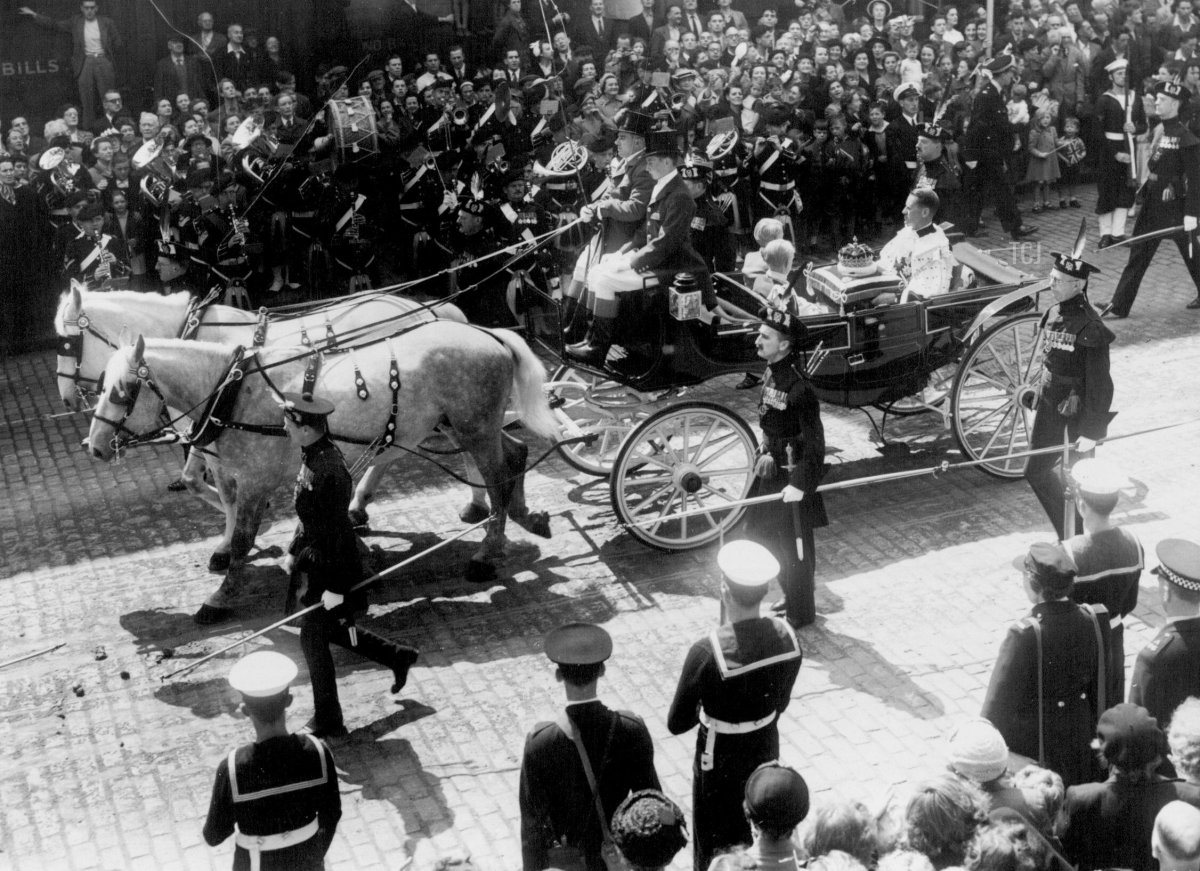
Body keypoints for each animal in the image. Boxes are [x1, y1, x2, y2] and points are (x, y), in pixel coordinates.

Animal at [55, 286, 487, 573]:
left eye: (67, 343)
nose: (66, 399)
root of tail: (428, 309)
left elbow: (209, 485)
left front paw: (233, 537)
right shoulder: (208, 432)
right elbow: (199, 481)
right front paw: (231, 534)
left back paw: (475, 501)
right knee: (392, 448)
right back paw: (361, 504)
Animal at [87, 331, 559, 623]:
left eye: (123, 392)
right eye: (101, 385)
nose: (93, 446)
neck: (234, 395)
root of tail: (489, 335)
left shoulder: (255, 483)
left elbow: (242, 541)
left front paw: (221, 597)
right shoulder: (229, 475)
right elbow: (230, 517)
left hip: (473, 427)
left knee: (497, 478)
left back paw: (487, 552)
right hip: (458, 426)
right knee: (515, 455)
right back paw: (526, 517)